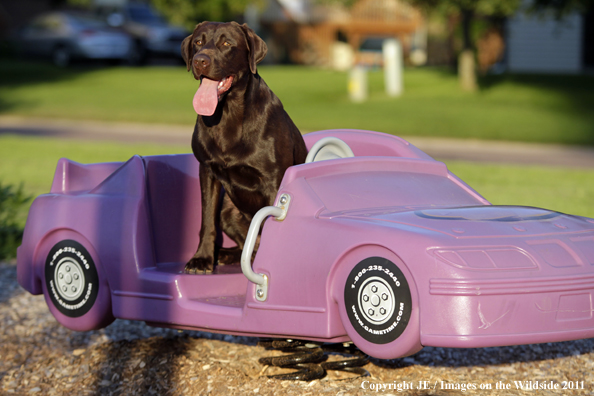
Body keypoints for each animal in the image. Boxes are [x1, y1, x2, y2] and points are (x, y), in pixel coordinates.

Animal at [179, 21, 306, 274]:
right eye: (198, 42)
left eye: (227, 43)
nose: (200, 60)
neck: (227, 112)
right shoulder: (207, 170)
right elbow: (206, 219)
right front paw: (202, 258)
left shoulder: (273, 180)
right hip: (228, 211)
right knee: (245, 246)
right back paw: (224, 254)